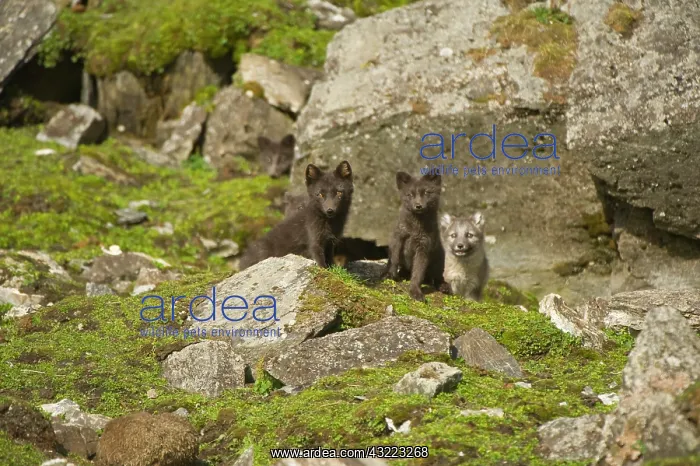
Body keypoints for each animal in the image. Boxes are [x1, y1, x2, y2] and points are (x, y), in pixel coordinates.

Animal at [383, 172, 445, 301]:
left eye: (426, 192)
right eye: (410, 194)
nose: (418, 206)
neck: (415, 230)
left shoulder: (423, 248)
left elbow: (417, 274)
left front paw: (415, 292)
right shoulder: (398, 237)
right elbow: (394, 260)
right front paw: (391, 275)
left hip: (439, 261)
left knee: (437, 278)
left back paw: (444, 287)